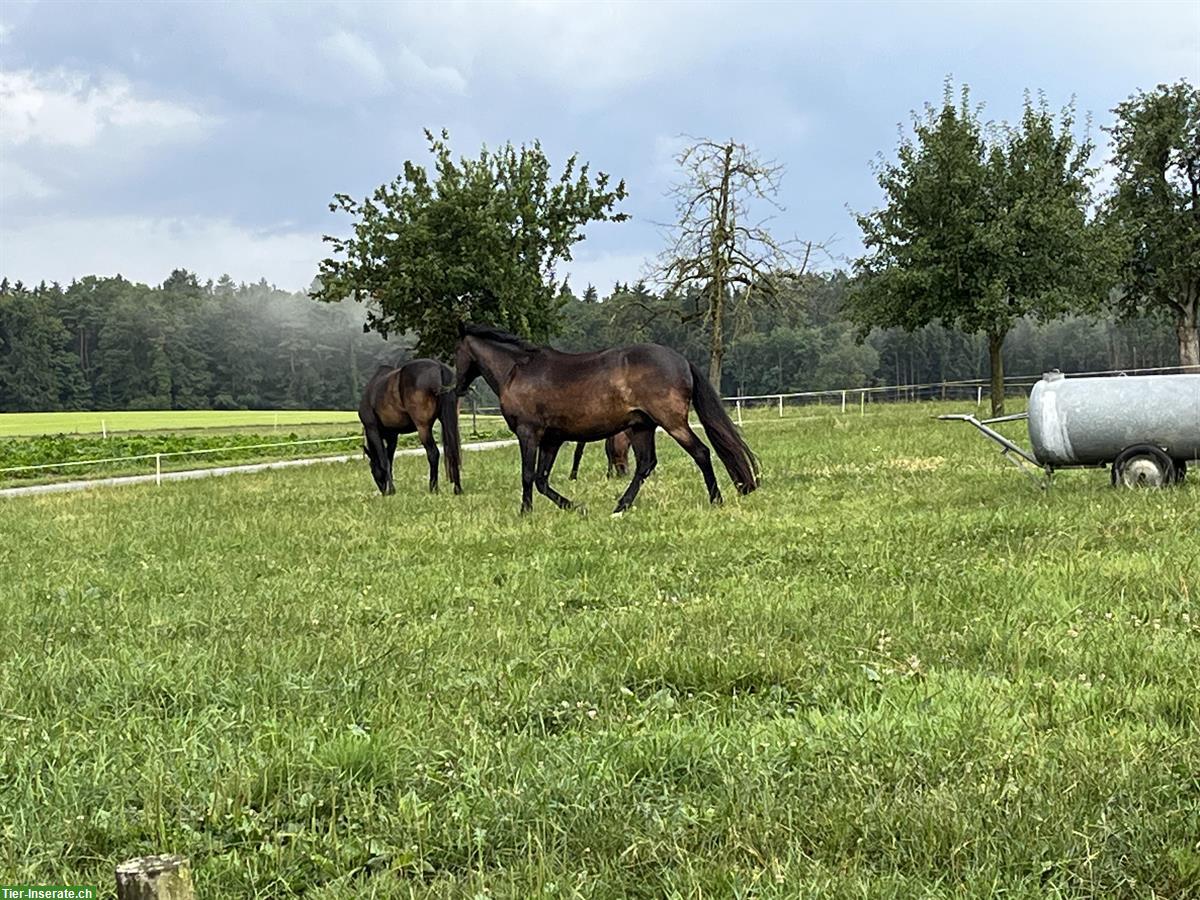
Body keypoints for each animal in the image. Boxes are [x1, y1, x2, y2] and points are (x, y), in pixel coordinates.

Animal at [355, 360, 458, 496]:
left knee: (433, 453)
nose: (383, 490)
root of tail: (439, 367)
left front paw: (391, 490)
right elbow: (389, 461)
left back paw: (433, 488)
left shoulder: (373, 430)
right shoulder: (392, 436)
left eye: (372, 470)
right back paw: (457, 488)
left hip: (423, 428)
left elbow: (384, 460)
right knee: (452, 450)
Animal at [453, 328, 753, 518]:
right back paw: (620, 507)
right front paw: (577, 507)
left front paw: (525, 513)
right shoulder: (552, 439)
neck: (517, 371)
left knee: (700, 452)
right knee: (645, 464)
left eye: (457, 354)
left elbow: (528, 476)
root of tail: (681, 360)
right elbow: (541, 480)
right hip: (642, 427)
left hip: (671, 422)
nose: (457, 387)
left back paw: (716, 499)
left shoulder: (529, 433)